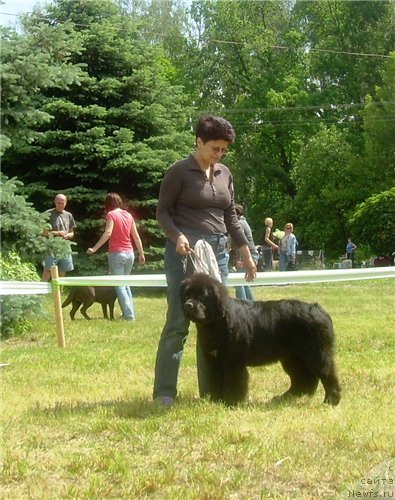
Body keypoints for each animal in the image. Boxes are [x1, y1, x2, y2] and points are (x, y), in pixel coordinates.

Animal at [181, 274, 342, 406]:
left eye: (202, 295)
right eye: (187, 293)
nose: (188, 304)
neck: (217, 323)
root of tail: (319, 310)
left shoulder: (233, 361)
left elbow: (234, 381)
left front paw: (231, 402)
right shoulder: (215, 360)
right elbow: (216, 380)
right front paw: (216, 400)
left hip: (317, 354)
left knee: (327, 374)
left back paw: (331, 401)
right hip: (292, 358)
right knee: (303, 379)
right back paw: (283, 398)